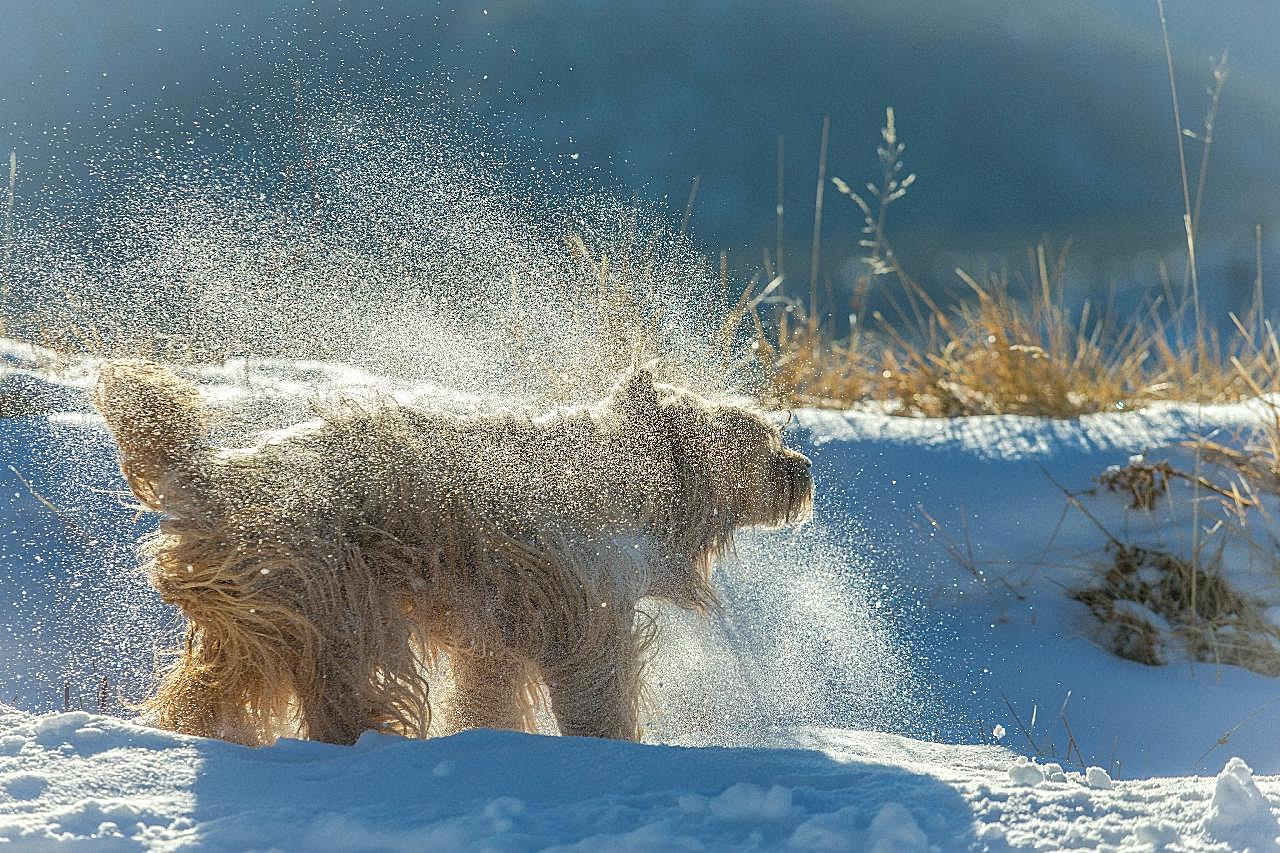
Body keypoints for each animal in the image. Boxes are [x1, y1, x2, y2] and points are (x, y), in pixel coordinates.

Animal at [92, 361, 808, 742]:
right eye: (748, 431)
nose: (799, 470)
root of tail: (219, 475)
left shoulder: (497, 623)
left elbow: (488, 688)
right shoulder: (578, 603)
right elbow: (593, 682)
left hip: (256, 609)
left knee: (215, 682)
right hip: (330, 591)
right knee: (345, 681)